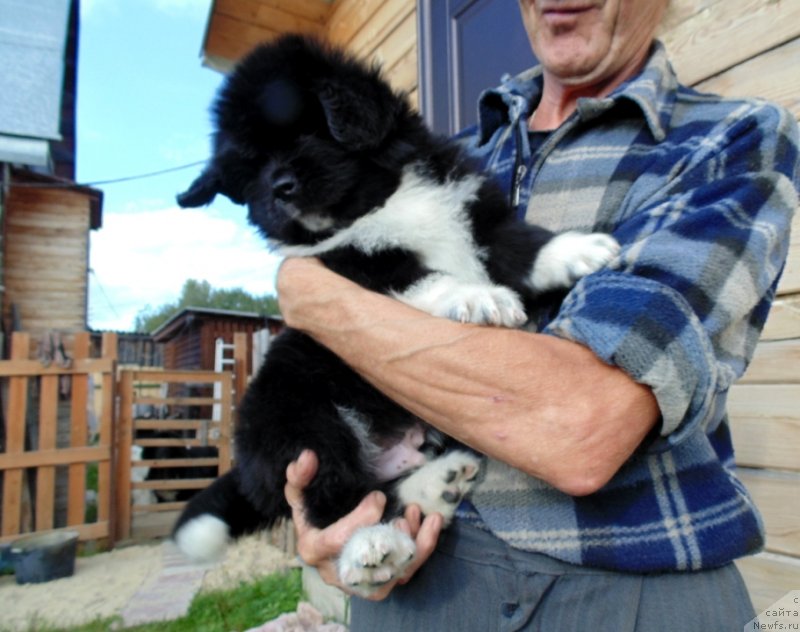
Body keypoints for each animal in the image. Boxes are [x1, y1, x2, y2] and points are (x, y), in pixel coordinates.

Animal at [170, 34, 620, 596]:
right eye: (250, 168)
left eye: (307, 128)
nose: (278, 188)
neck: (377, 202)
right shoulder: (359, 267)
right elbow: (425, 280)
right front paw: (479, 298)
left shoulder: (476, 217)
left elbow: (521, 244)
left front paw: (577, 250)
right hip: (300, 418)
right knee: (338, 495)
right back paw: (369, 544)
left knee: (386, 488)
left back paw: (436, 485)